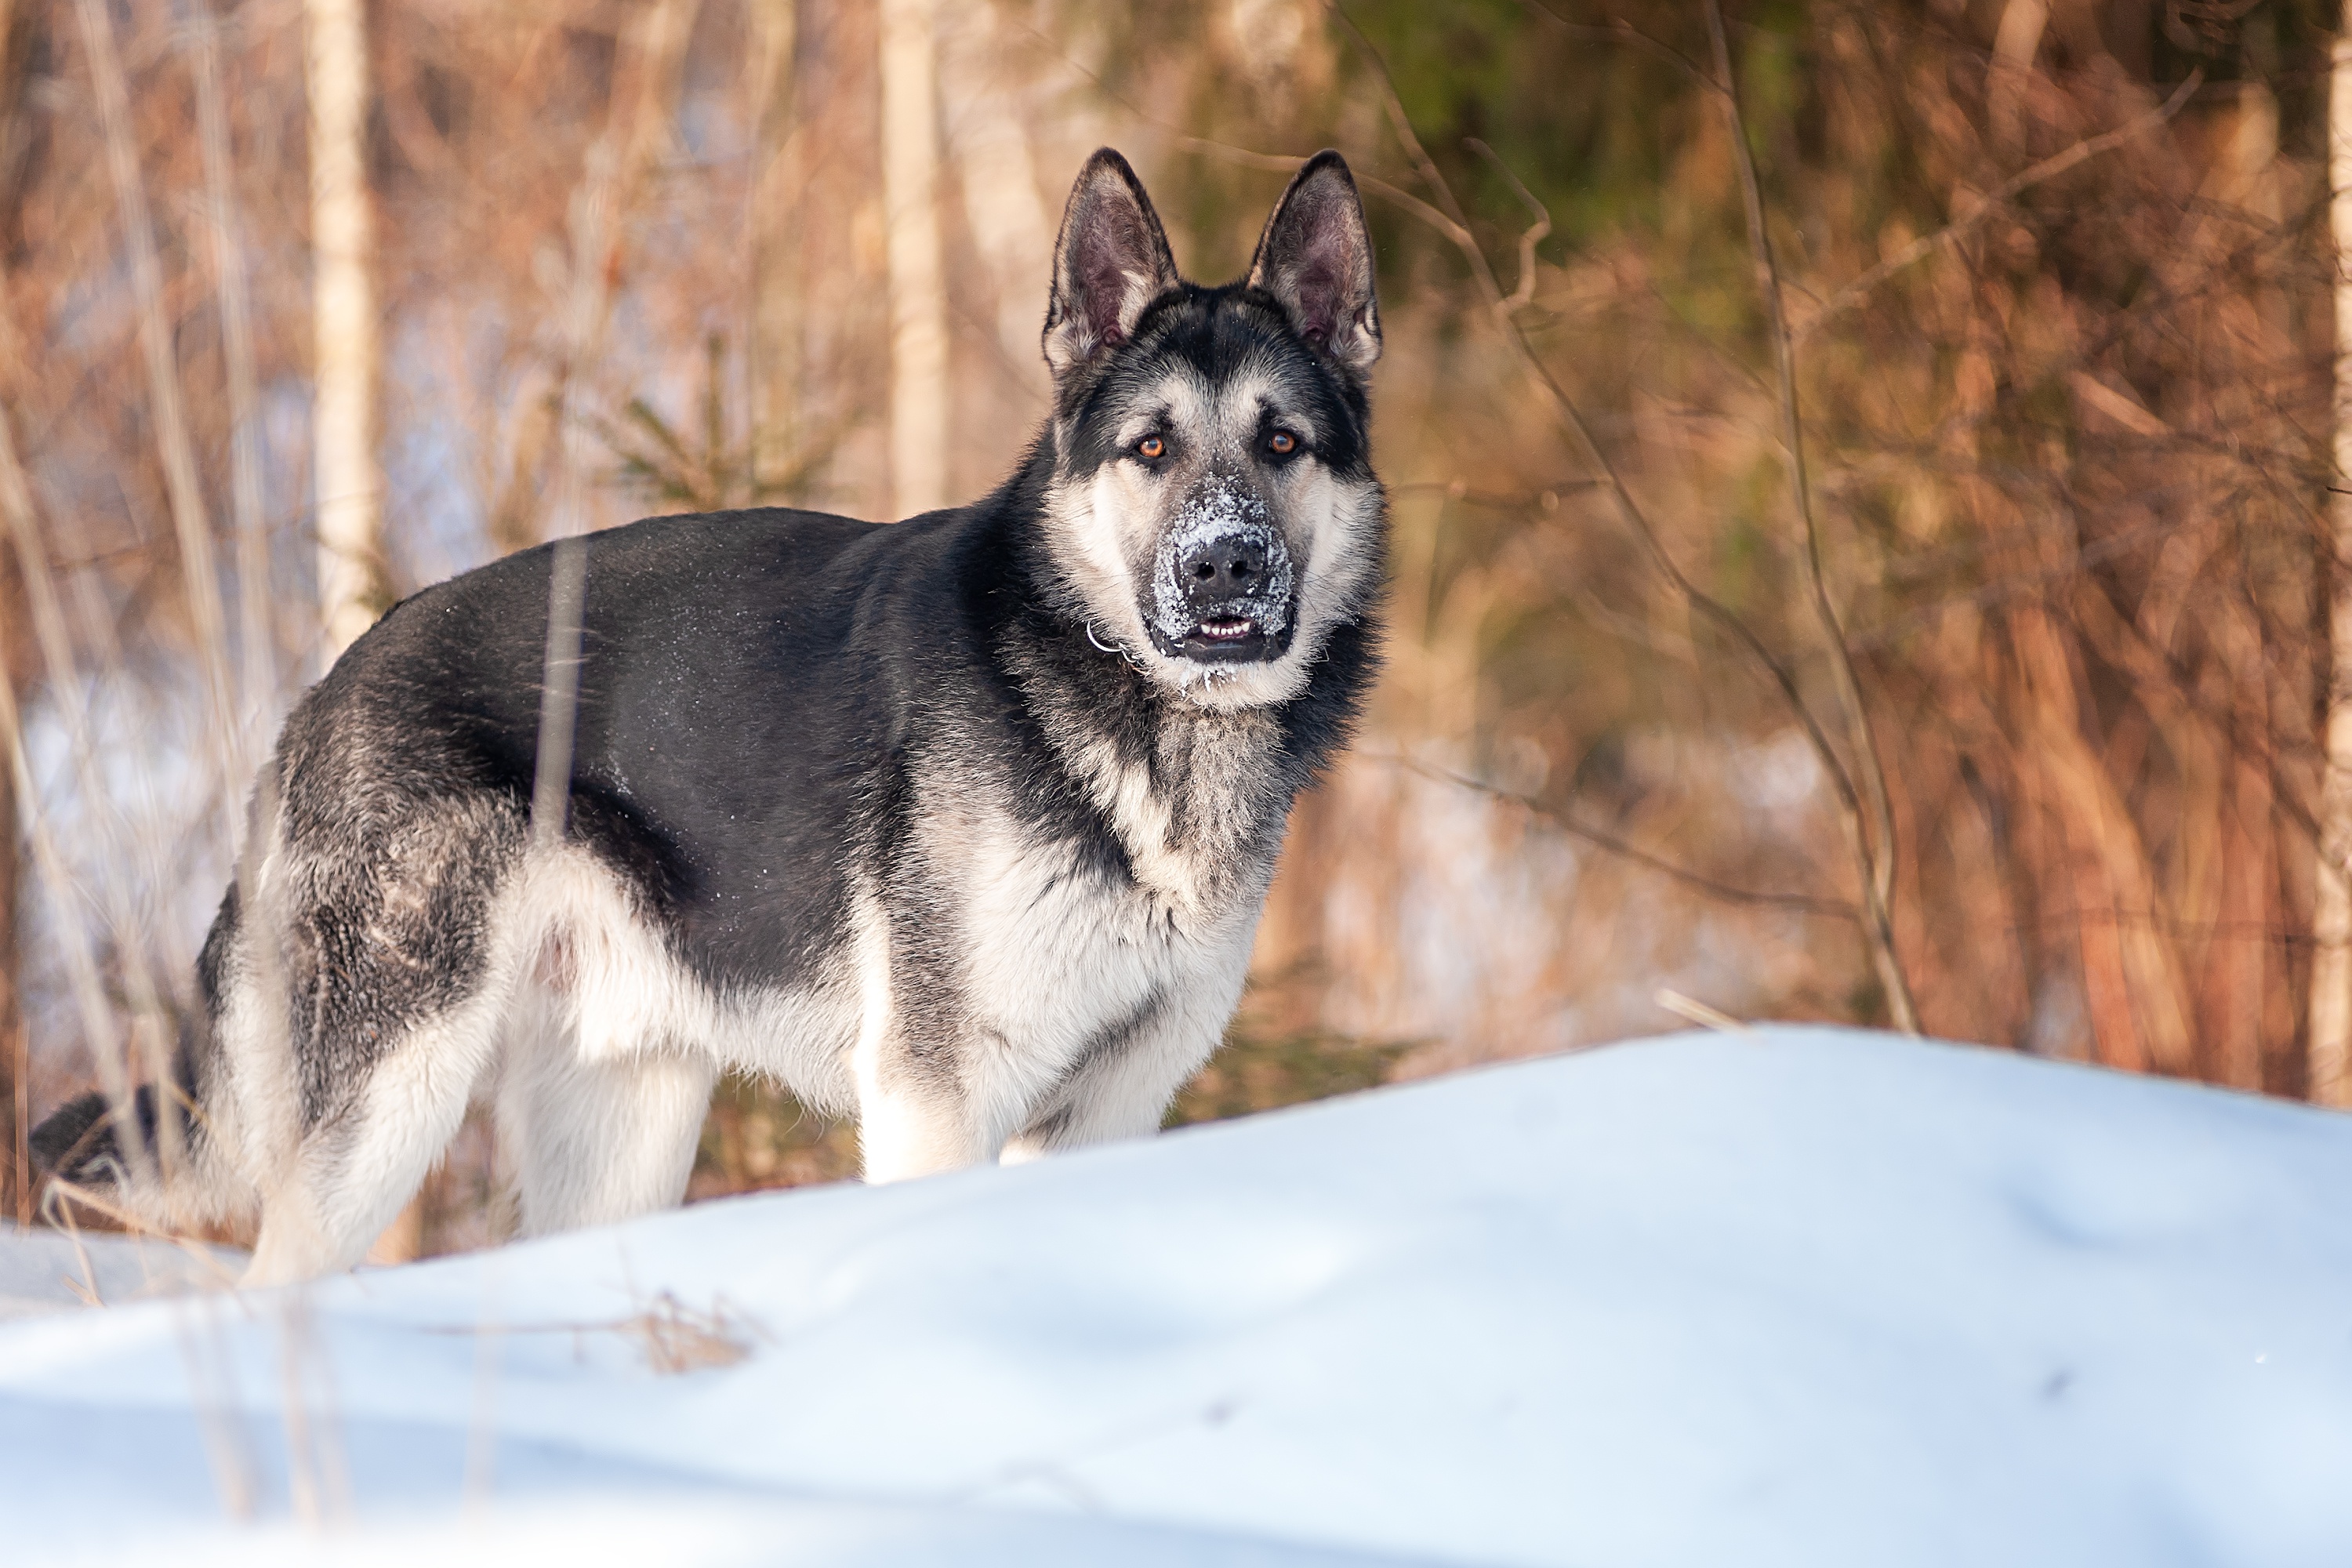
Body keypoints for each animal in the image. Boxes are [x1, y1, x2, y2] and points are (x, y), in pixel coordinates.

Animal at [27, 143, 1383, 1288]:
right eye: (1152, 447)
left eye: (1281, 443)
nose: (1224, 569)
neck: (1126, 698)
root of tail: (321, 693)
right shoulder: (941, 1099)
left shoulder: (1114, 1110)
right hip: (392, 1101)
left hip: (620, 1134)